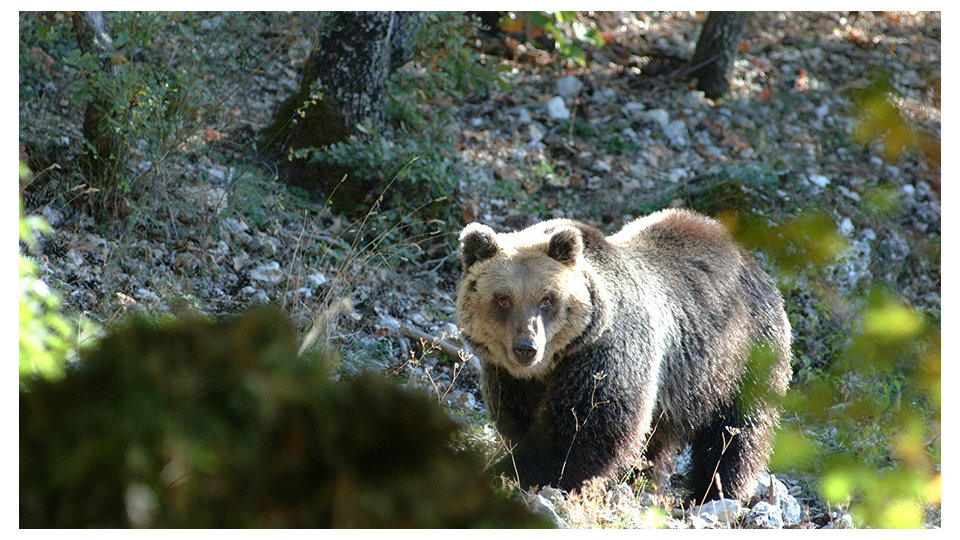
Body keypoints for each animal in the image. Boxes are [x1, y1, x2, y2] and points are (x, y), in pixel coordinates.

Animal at [454, 208, 792, 502]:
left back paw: (714, 492)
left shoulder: (607, 352)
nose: (526, 347)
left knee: (737, 432)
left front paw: (526, 472)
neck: (552, 363)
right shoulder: (508, 376)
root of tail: (751, 261)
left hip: (743, 354)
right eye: (503, 299)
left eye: (546, 299)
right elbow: (516, 419)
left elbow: (589, 427)